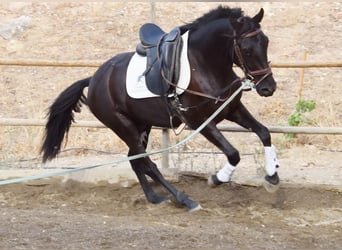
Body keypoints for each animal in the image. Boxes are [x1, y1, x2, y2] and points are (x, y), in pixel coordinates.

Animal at [41, 6, 280, 211]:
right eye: (247, 50)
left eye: (266, 42)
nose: (268, 87)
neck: (204, 64)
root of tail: (94, 79)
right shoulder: (200, 122)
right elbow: (233, 153)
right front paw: (217, 178)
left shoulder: (232, 110)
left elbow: (264, 133)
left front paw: (272, 174)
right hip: (124, 127)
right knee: (147, 163)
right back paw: (184, 200)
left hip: (141, 126)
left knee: (136, 160)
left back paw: (154, 197)